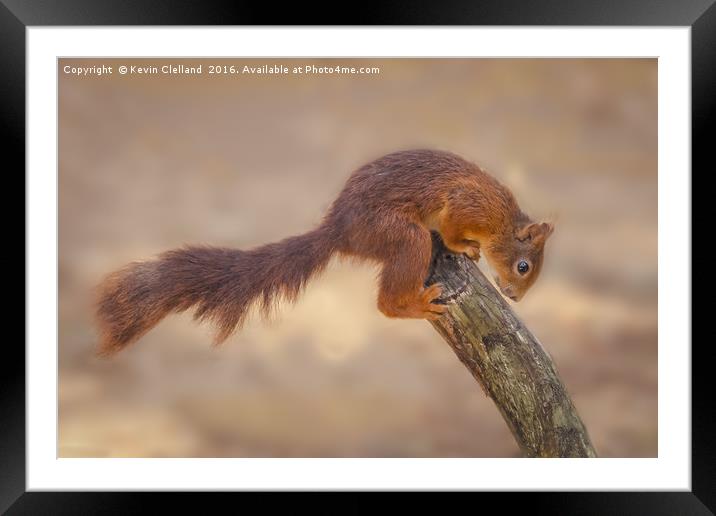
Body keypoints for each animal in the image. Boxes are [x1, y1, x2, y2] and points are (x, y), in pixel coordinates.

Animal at [95, 150, 552, 354]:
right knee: (389, 297)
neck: (501, 220)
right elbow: (455, 232)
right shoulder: (465, 206)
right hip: (401, 235)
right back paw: (415, 304)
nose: (513, 297)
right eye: (523, 266)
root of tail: (338, 232)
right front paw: (466, 248)